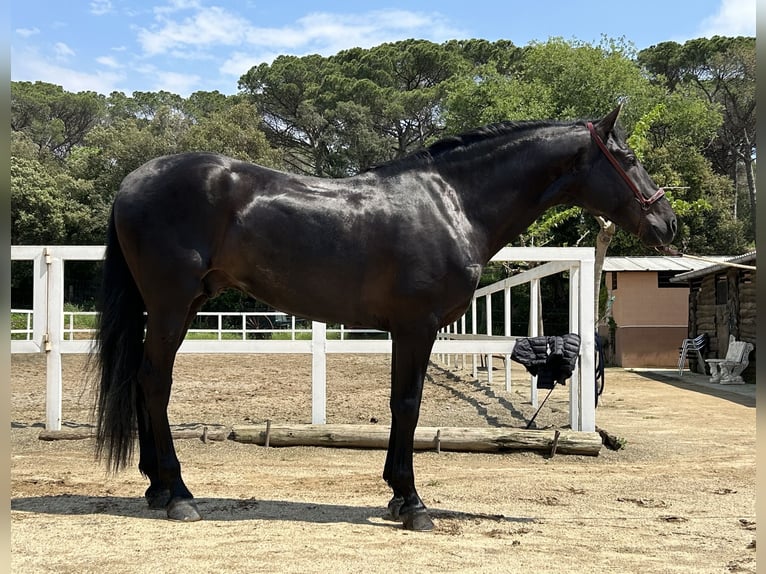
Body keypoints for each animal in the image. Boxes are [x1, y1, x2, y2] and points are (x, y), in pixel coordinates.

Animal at [93, 106, 676, 532]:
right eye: (626, 155)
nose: (667, 223)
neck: (453, 203)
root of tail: (132, 180)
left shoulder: (406, 330)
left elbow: (402, 405)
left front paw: (398, 497)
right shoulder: (417, 326)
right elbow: (408, 406)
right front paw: (412, 502)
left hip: (180, 306)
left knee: (144, 380)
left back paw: (156, 488)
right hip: (172, 306)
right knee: (155, 382)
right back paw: (178, 495)